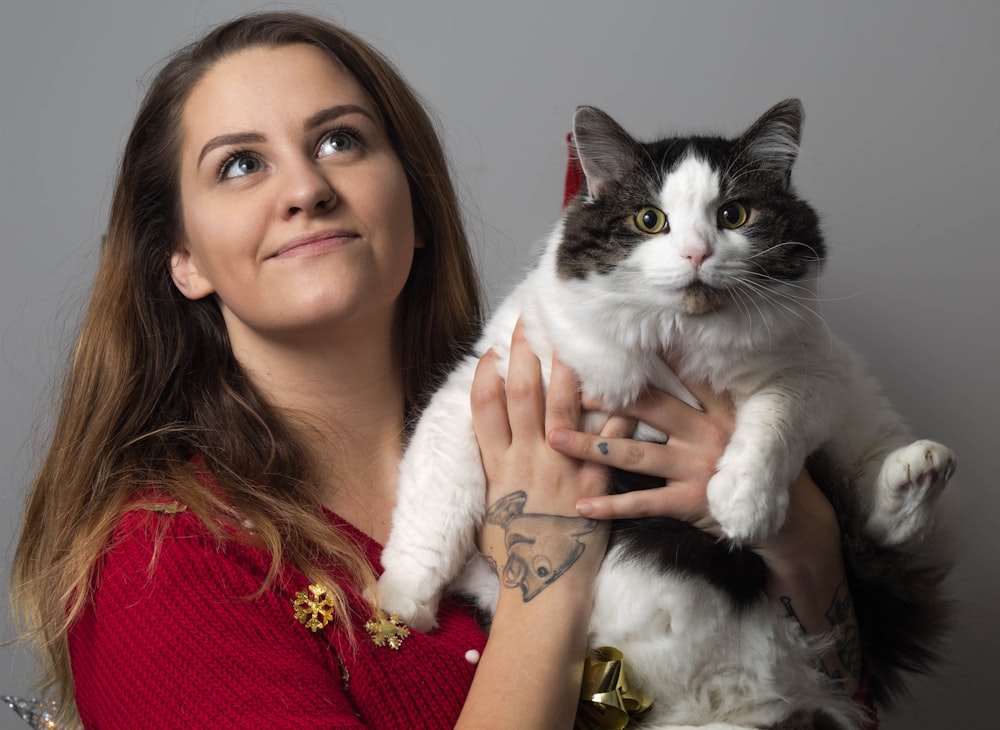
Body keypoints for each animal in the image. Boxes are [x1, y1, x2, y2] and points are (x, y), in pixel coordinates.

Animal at [376, 101, 952, 728]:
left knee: (881, 520)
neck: (675, 340)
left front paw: (744, 503)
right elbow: (439, 497)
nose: (697, 253)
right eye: (650, 220)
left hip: (857, 409)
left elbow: (774, 418)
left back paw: (921, 470)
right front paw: (404, 598)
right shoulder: (481, 383)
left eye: (734, 214)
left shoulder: (813, 373)